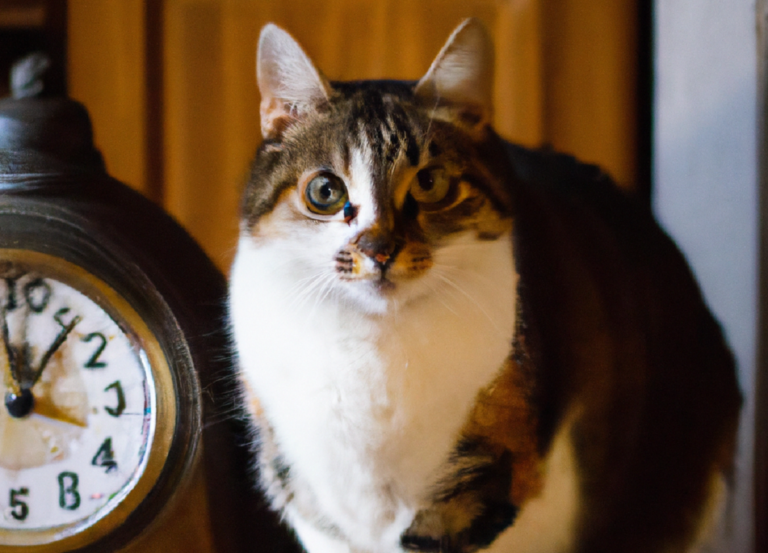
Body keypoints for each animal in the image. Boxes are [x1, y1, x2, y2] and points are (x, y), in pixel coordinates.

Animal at [228, 18, 744, 552]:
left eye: (430, 184)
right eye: (325, 192)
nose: (379, 250)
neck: (372, 346)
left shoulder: (485, 484)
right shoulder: (310, 502)